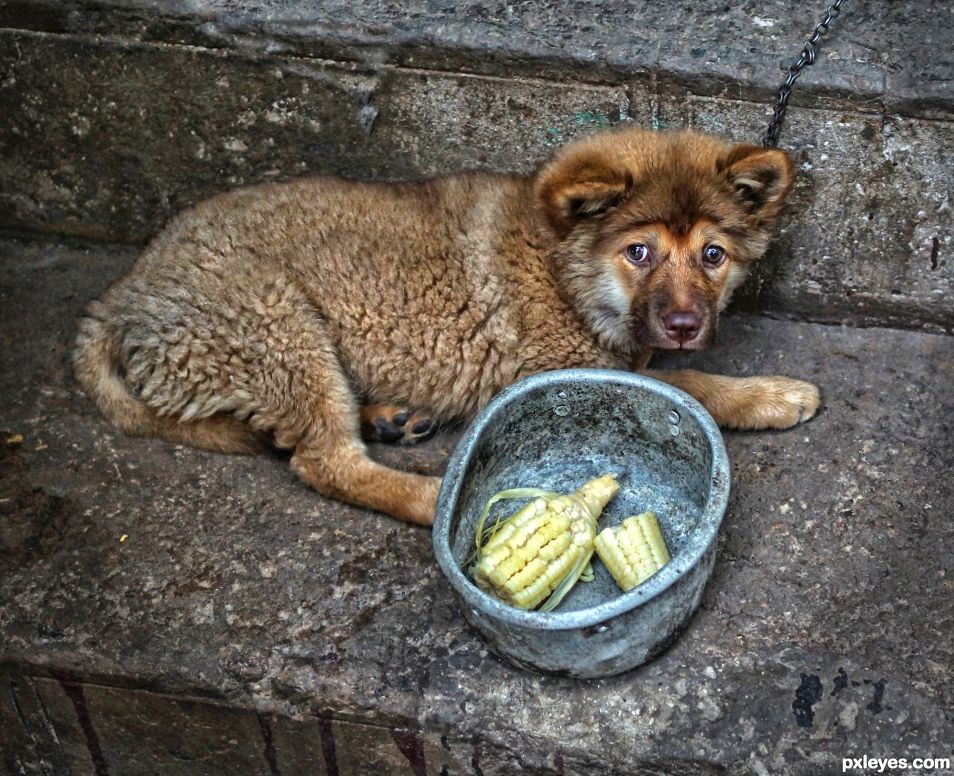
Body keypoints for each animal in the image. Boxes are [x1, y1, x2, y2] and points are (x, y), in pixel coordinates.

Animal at [72, 129, 820, 528]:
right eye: (639, 252)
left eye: (713, 256)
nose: (688, 323)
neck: (561, 268)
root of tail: (121, 296)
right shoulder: (559, 367)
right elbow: (689, 383)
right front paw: (770, 394)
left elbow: (669, 370)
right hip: (278, 325)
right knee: (324, 461)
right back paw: (437, 501)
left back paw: (386, 416)